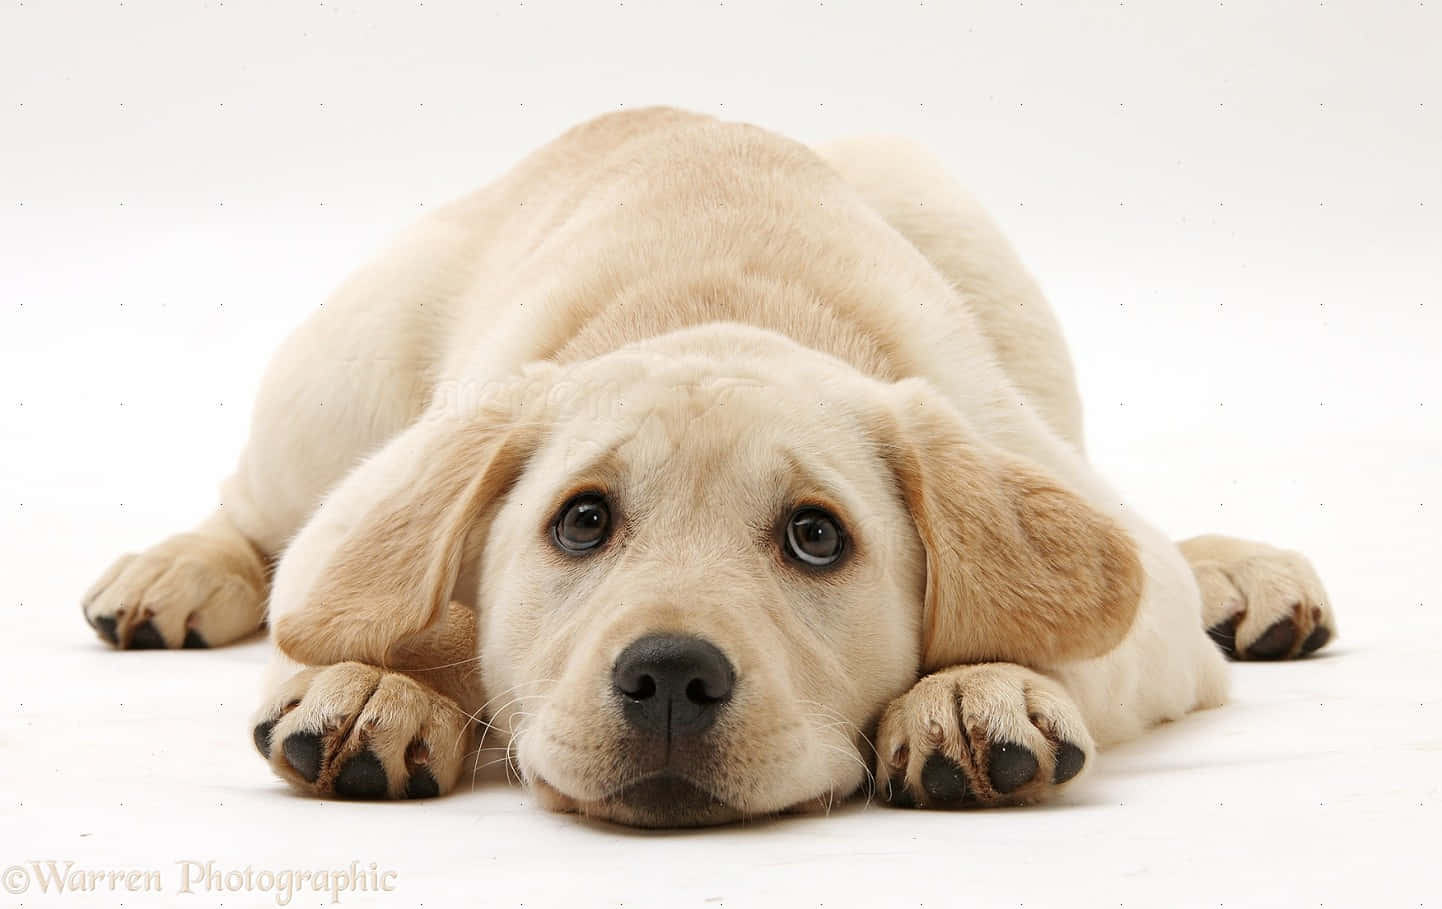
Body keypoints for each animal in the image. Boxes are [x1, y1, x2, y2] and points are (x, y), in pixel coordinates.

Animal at [81, 106, 1338, 825]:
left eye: (816, 537)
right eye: (580, 523)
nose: (670, 678)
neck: (713, 308)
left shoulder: (1124, 592)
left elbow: (1062, 615)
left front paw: (968, 690)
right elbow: (391, 604)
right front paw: (375, 687)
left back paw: (1240, 572)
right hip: (342, 375)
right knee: (263, 521)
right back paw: (175, 570)